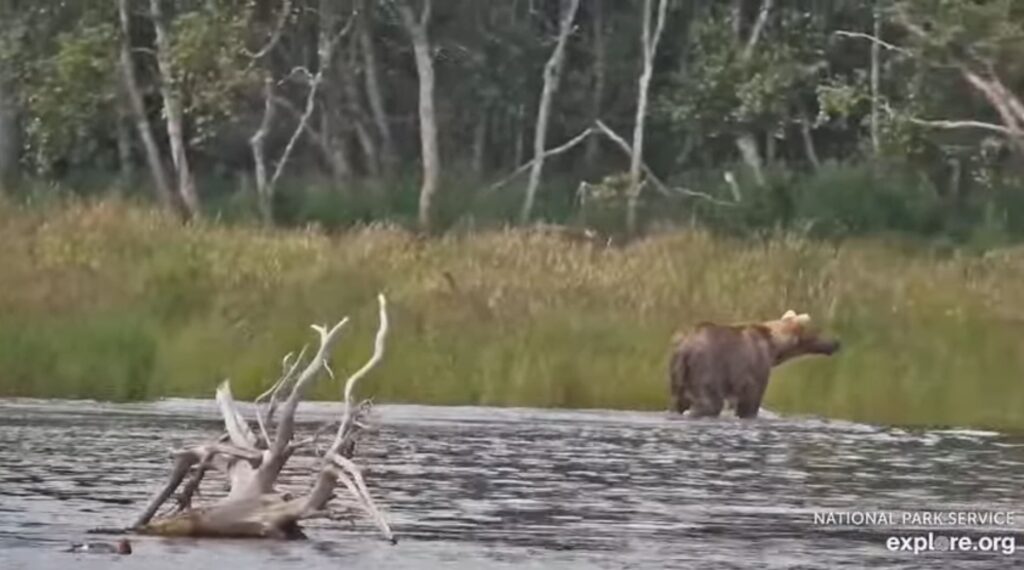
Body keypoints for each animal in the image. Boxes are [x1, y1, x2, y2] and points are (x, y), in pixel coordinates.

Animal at [671, 311, 839, 417]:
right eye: (819, 330)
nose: (836, 343)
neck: (774, 347)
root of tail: (685, 349)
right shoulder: (755, 366)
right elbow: (751, 401)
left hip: (678, 373)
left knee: (679, 402)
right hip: (706, 368)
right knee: (711, 403)